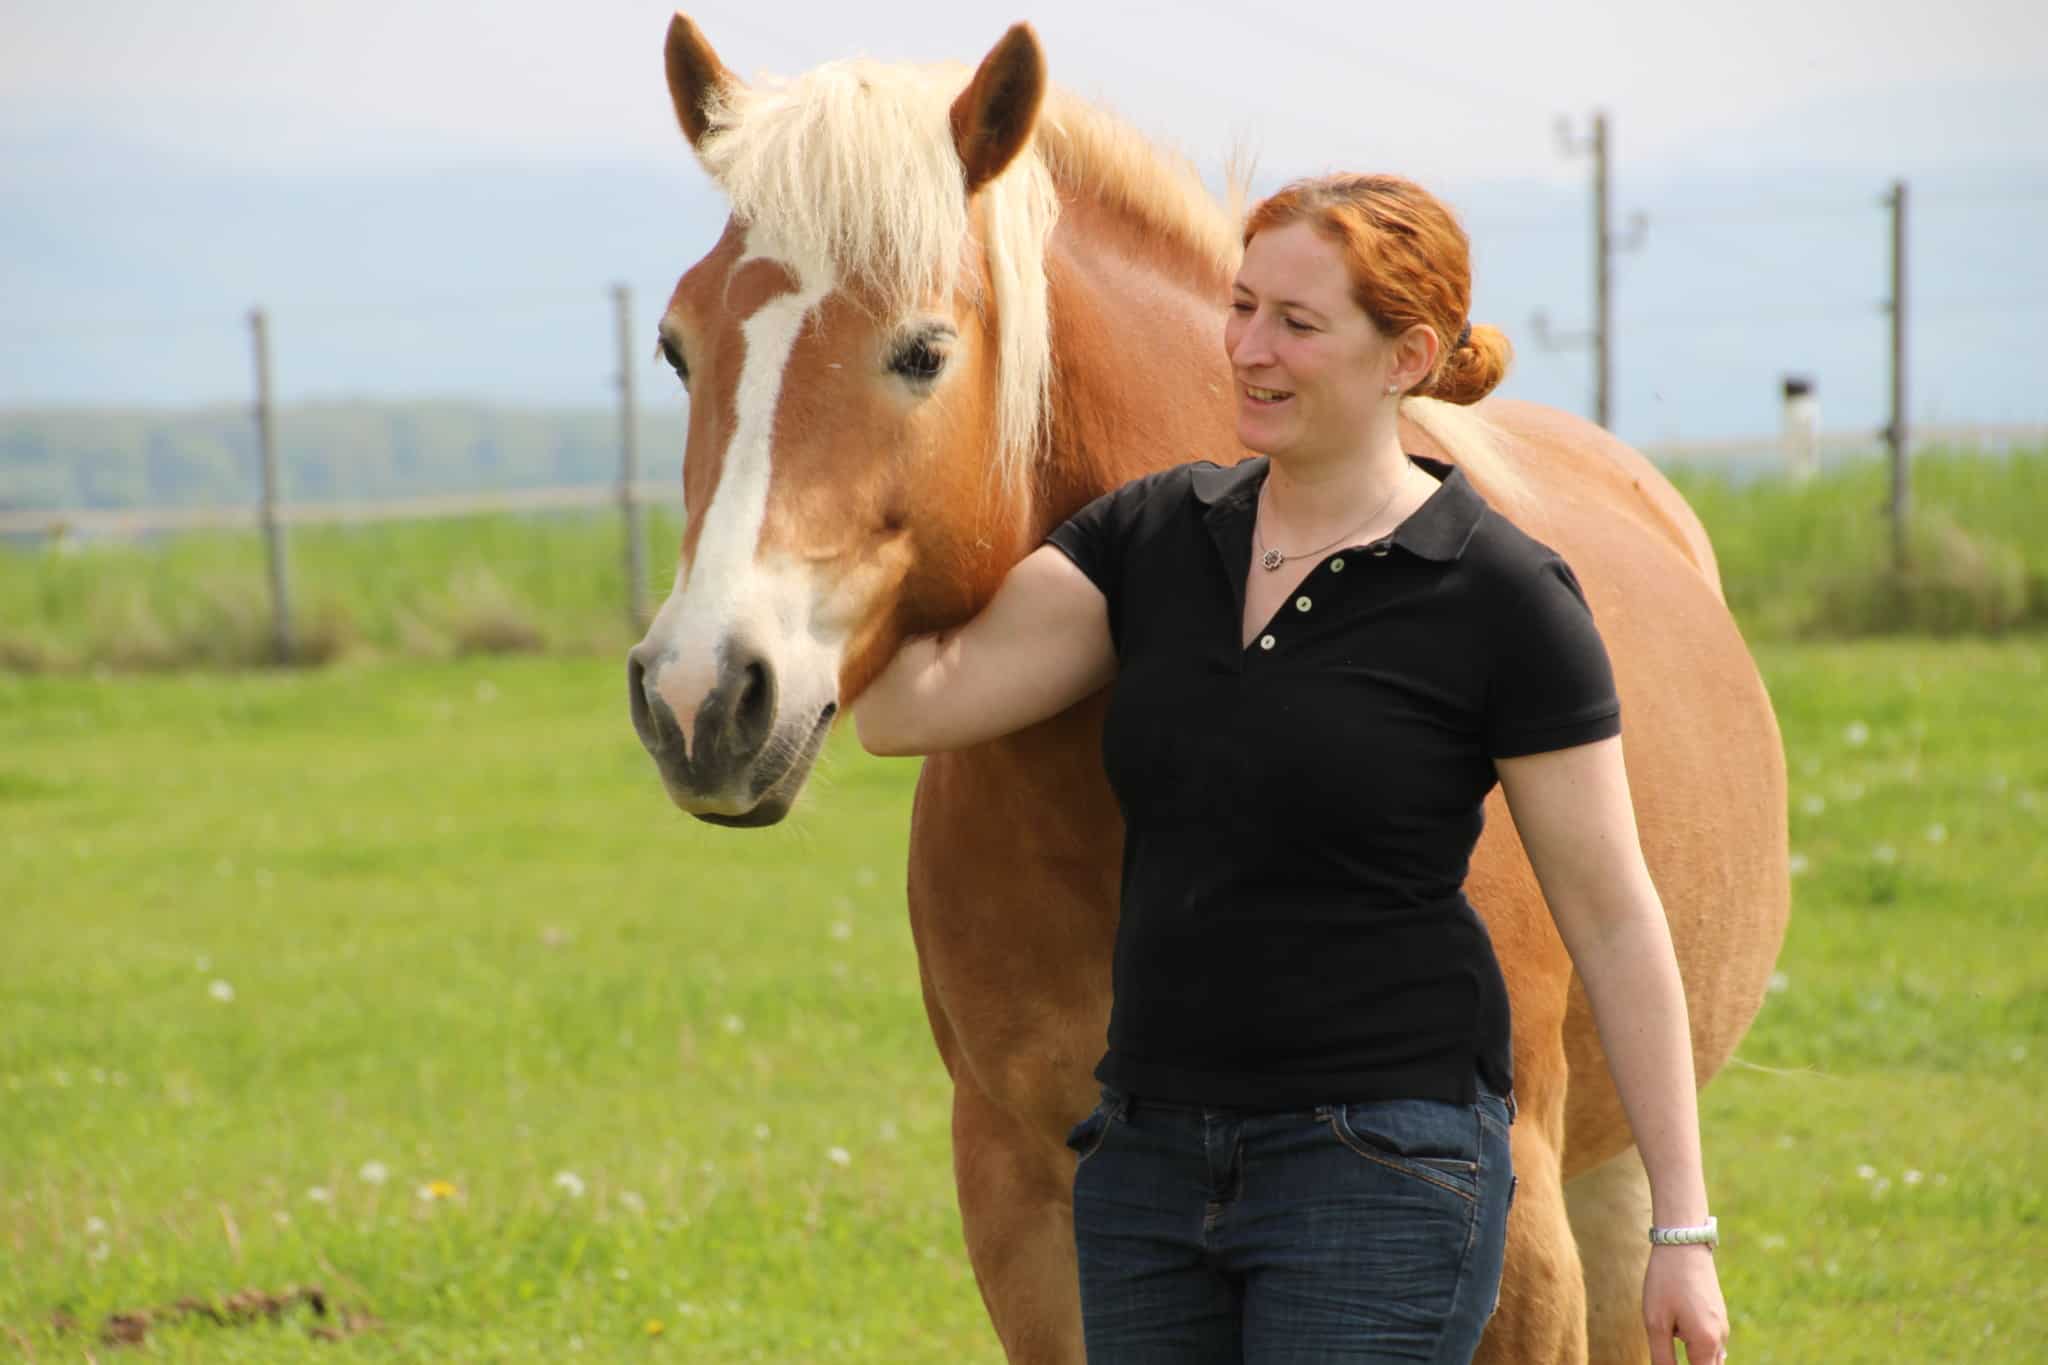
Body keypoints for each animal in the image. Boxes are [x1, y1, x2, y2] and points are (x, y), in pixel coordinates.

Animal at [626, 13, 1794, 1365]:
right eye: (674, 346)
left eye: (921, 351)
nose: (699, 695)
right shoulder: (1025, 1207)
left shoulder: (1518, 1249)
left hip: (1612, 1180)